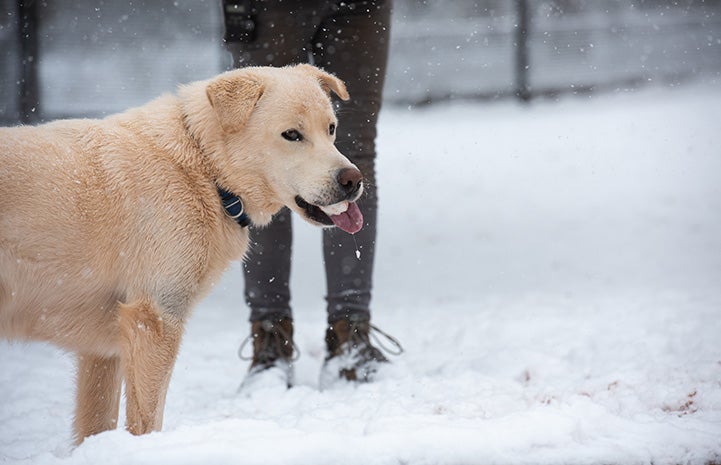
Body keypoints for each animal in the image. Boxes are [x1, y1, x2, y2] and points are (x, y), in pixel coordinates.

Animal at [0, 64, 362, 442]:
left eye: (331, 129)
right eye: (292, 134)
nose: (353, 180)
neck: (204, 168)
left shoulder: (102, 349)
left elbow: (96, 425)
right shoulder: (155, 317)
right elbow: (147, 420)